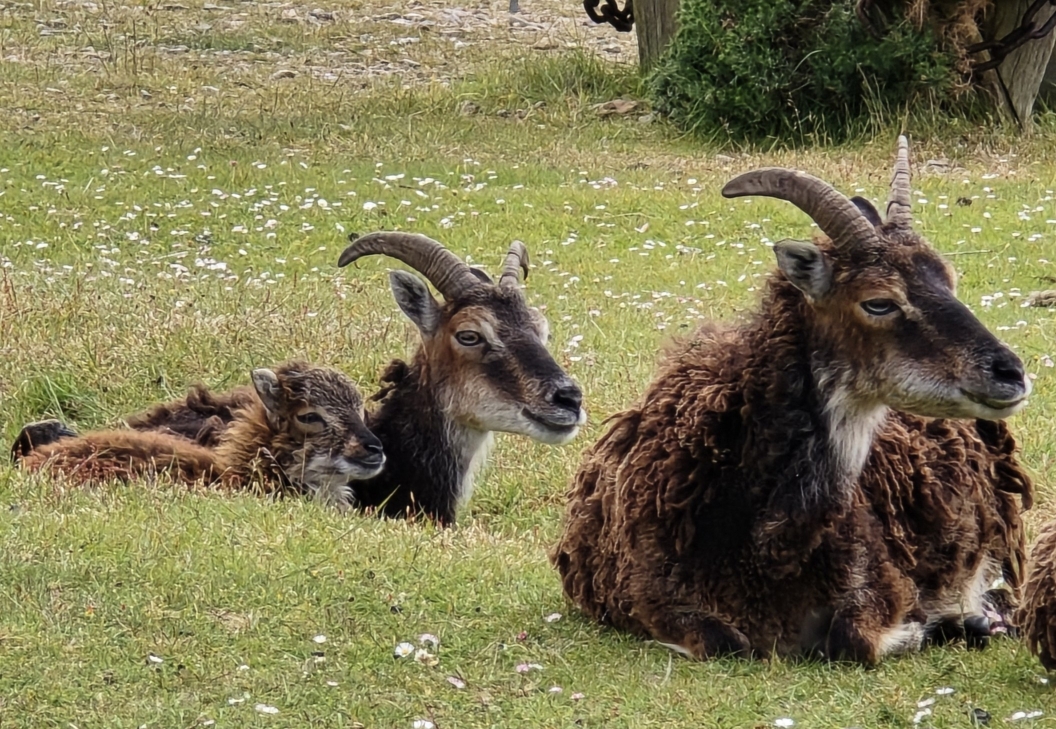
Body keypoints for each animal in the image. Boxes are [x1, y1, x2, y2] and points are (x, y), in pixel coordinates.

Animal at [551, 136, 1033, 664]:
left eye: (949, 279)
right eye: (878, 301)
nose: (1010, 373)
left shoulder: (879, 581)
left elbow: (852, 639)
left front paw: (939, 623)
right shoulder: (646, 593)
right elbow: (723, 642)